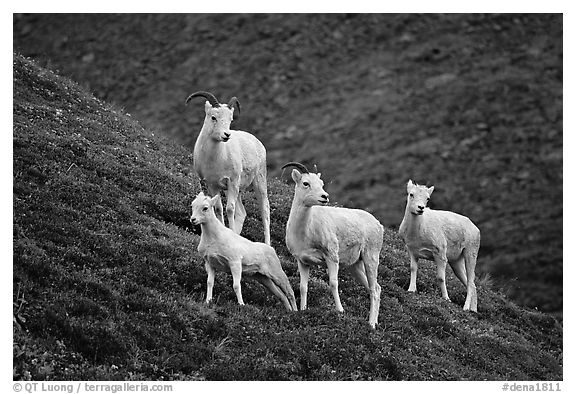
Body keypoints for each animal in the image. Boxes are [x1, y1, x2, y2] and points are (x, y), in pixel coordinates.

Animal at [187, 91, 272, 245]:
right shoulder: (212, 185)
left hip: (258, 182)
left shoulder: (232, 182)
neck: (215, 159)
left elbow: (229, 209)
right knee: (242, 212)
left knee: (265, 210)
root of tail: (257, 142)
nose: (226, 135)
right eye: (213, 117)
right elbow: (218, 208)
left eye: (230, 119)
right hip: (235, 190)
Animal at [282, 162, 384, 328]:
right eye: (306, 183)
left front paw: (340, 311)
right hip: (356, 266)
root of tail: (378, 225)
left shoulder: (331, 258)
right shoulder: (302, 262)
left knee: (374, 289)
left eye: (321, 184)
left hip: (371, 258)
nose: (325, 197)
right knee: (375, 288)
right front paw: (303, 309)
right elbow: (303, 287)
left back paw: (371, 325)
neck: (306, 231)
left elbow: (333, 283)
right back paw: (372, 323)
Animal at [398, 180, 480, 312]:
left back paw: (466, 308)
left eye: (427, 198)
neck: (417, 232)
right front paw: (411, 290)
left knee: (470, 283)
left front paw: (447, 299)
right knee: (471, 284)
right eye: (411, 194)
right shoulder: (412, 251)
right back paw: (473, 310)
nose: (420, 208)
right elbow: (413, 269)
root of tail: (476, 229)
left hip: (470, 254)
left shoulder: (440, 255)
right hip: (456, 262)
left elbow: (441, 278)